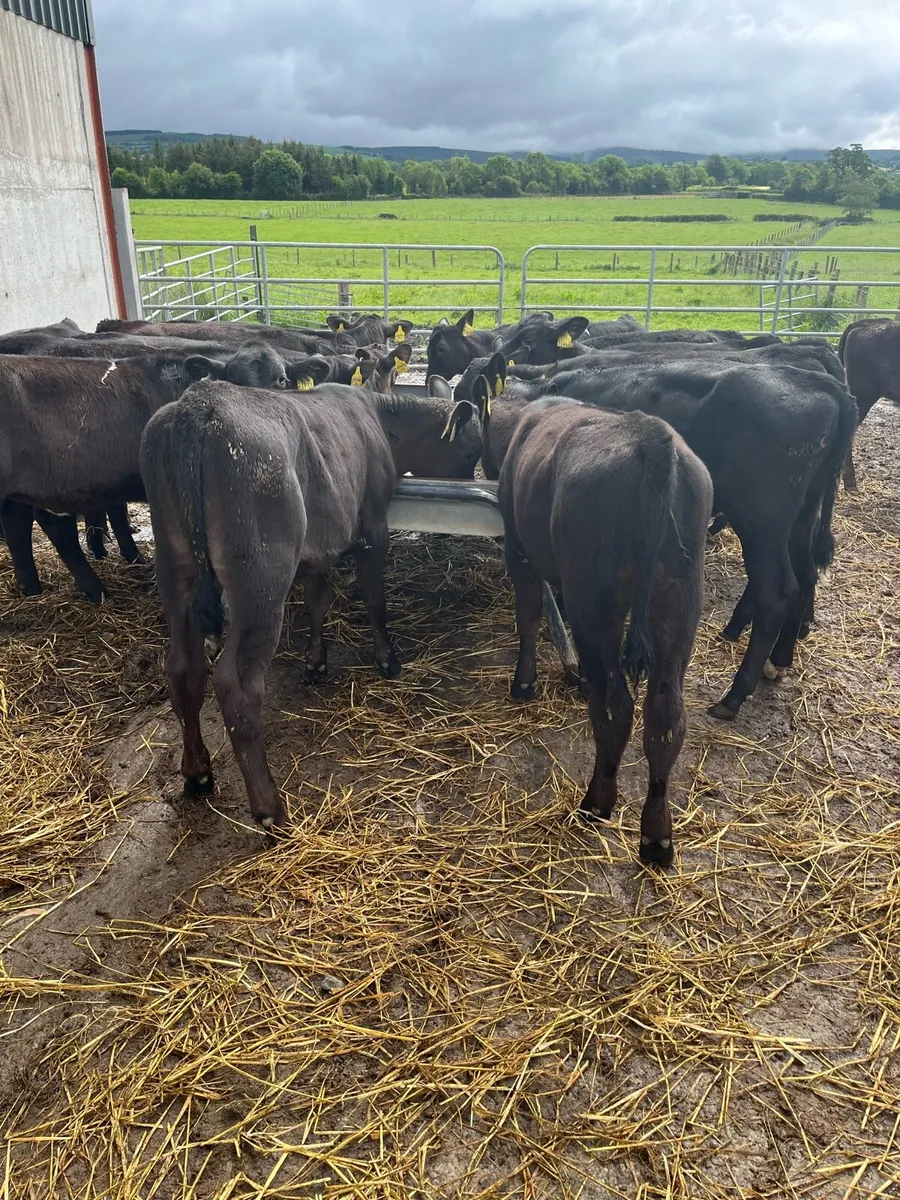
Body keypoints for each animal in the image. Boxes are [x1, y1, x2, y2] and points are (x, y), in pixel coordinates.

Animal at [139, 380, 481, 826]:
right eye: (472, 450)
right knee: (236, 685)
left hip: (175, 568)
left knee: (183, 670)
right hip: (260, 577)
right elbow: (375, 599)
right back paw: (270, 808)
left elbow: (317, 602)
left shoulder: (320, 551)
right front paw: (387, 660)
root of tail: (200, 401)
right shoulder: (372, 530)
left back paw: (197, 773)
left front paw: (316, 663)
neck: (379, 418)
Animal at [465, 353, 856, 722]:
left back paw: (733, 695)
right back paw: (778, 659)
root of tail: (818, 382)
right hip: (802, 514)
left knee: (776, 592)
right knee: (806, 574)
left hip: (762, 521)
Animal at [467, 377, 712, 867]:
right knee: (666, 714)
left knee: (614, 703)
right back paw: (657, 834)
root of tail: (652, 438)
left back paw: (597, 801)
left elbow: (531, 614)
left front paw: (525, 681)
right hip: (679, 598)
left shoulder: (519, 550)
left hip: (596, 601)